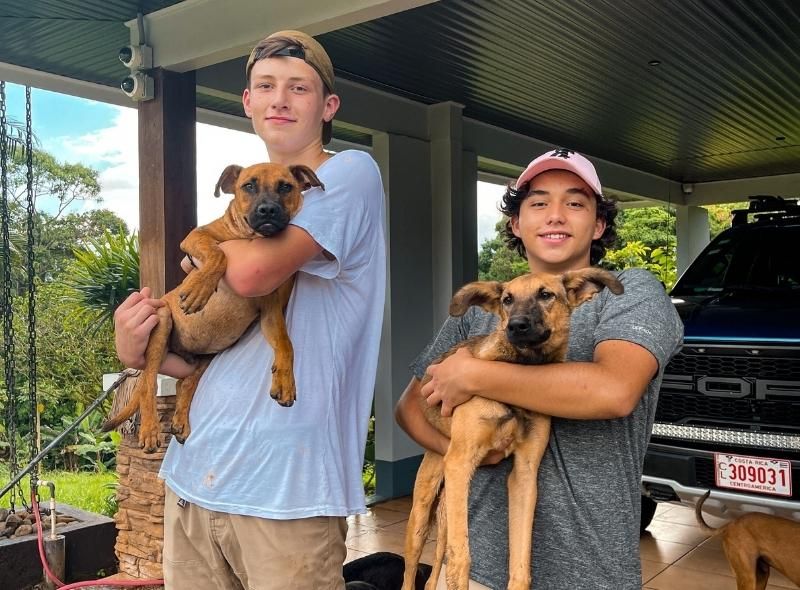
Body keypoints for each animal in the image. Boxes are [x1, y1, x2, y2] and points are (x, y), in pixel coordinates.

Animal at [104, 162, 324, 454]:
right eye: (248, 186)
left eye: (286, 186)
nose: (267, 210)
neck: (251, 237)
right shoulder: (197, 237)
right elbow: (218, 253)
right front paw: (199, 287)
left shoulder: (271, 311)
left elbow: (286, 344)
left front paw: (285, 382)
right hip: (162, 318)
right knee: (148, 383)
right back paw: (150, 430)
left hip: (206, 357)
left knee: (184, 383)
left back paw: (180, 422)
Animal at [404, 270, 620, 590]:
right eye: (507, 299)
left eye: (546, 295)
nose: (516, 326)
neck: (518, 373)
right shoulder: (459, 462)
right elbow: (460, 560)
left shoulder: (524, 474)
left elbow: (520, 565)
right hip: (423, 510)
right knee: (411, 569)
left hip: (446, 509)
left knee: (433, 577)